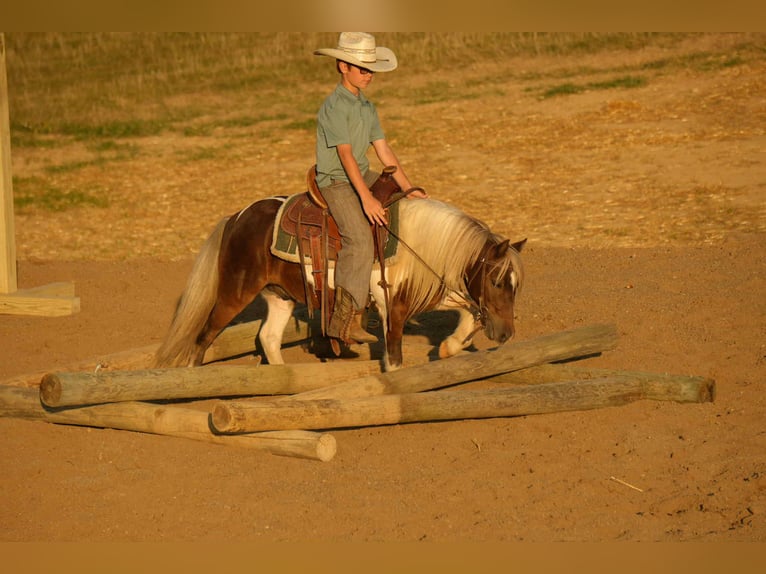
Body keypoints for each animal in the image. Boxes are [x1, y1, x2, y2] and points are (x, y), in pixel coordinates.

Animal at [154, 193, 525, 371]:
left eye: (515, 284)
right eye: (496, 281)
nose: (506, 334)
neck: (413, 241)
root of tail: (236, 218)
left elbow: (468, 310)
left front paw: (451, 345)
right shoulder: (392, 306)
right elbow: (394, 357)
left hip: (280, 296)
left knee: (268, 338)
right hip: (235, 293)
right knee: (204, 336)